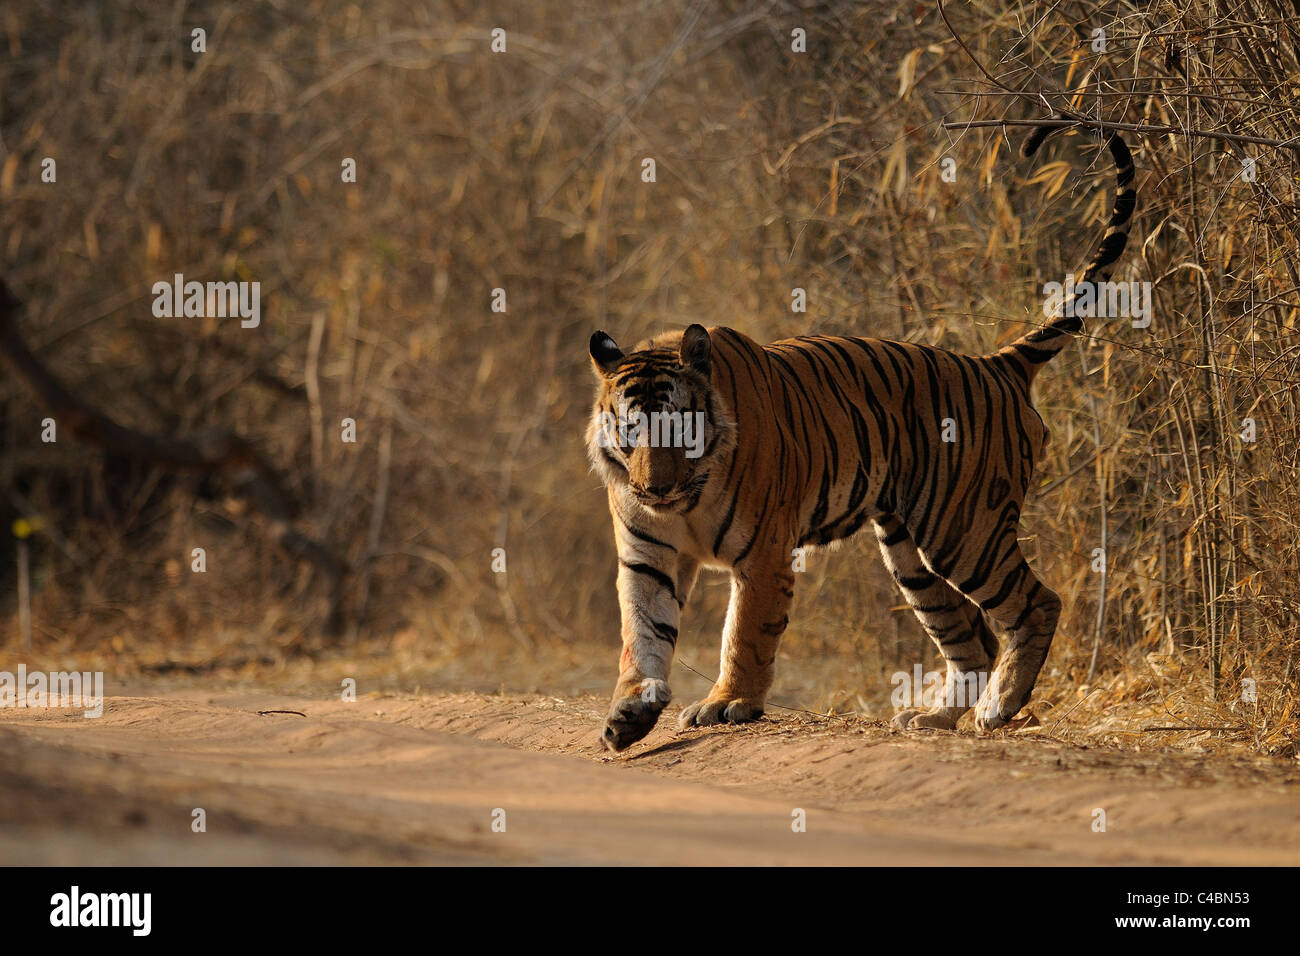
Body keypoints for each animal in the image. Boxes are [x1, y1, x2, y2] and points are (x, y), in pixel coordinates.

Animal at [585, 119, 1133, 749]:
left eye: (682, 429)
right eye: (631, 430)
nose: (655, 489)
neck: (686, 500)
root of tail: (996, 363)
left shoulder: (764, 553)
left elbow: (744, 634)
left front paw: (727, 703)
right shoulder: (648, 556)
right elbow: (642, 635)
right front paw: (629, 713)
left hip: (964, 531)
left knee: (1037, 603)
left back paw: (999, 707)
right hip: (909, 550)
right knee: (972, 637)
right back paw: (934, 717)